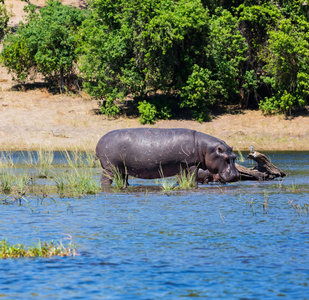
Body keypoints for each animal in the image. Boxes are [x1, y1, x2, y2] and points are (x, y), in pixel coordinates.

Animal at [95, 127, 239, 188]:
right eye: (226, 158)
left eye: (235, 157)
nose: (237, 175)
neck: (205, 148)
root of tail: (98, 142)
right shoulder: (192, 165)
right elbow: (193, 179)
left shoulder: (183, 166)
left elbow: (183, 179)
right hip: (109, 168)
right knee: (105, 179)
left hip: (122, 169)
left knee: (123, 180)